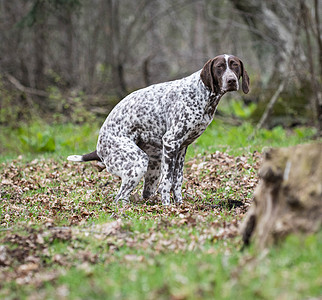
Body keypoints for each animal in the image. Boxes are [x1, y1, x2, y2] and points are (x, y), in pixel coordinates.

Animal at [67, 54, 249, 205]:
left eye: (235, 66)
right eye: (219, 67)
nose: (231, 80)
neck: (203, 94)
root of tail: (99, 147)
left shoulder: (181, 148)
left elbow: (177, 181)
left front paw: (179, 205)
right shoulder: (170, 142)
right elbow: (167, 182)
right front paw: (168, 208)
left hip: (154, 165)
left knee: (143, 193)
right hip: (138, 163)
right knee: (120, 198)